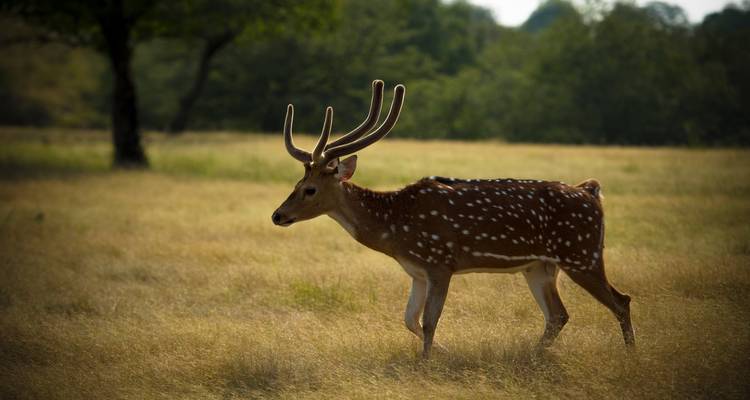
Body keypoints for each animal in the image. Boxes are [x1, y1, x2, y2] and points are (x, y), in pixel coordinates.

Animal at [271, 80, 635, 359]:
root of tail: (591, 191)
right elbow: (408, 319)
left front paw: (427, 362)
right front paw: (442, 352)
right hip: (540, 266)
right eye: (295, 184)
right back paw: (532, 356)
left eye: (309, 189)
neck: (395, 229)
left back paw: (631, 356)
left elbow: (429, 321)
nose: (278, 215)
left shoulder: (440, 261)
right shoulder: (417, 272)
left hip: (582, 254)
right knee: (559, 315)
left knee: (620, 300)